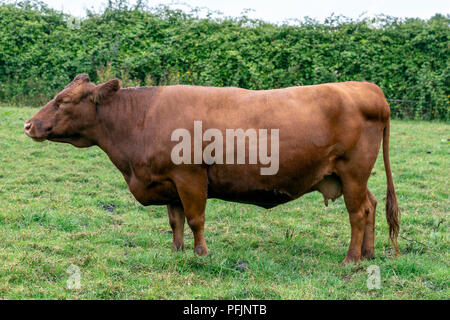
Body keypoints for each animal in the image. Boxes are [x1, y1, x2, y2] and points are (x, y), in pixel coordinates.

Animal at [24, 74, 400, 262]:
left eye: (64, 101)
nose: (28, 125)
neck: (140, 120)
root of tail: (366, 88)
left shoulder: (190, 176)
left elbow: (195, 219)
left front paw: (201, 253)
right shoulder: (168, 182)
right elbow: (175, 220)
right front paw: (176, 252)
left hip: (352, 171)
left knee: (357, 213)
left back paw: (351, 259)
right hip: (348, 175)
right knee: (371, 206)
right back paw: (368, 254)